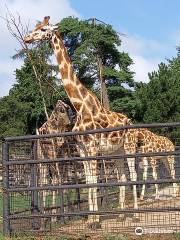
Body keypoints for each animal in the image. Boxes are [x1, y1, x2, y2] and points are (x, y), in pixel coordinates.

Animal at [24, 16, 139, 227]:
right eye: (36, 27)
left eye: (43, 29)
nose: (27, 39)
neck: (80, 106)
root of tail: (131, 122)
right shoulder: (83, 149)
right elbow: (88, 180)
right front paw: (91, 219)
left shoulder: (93, 148)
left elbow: (93, 181)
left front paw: (95, 221)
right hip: (116, 151)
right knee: (122, 175)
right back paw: (121, 214)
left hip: (129, 146)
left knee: (133, 174)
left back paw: (134, 213)